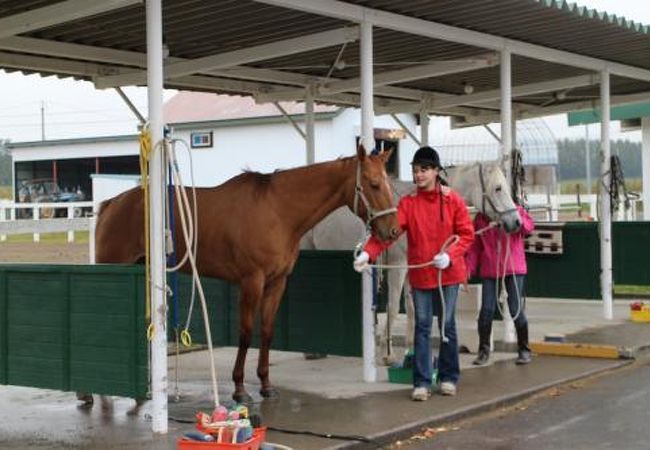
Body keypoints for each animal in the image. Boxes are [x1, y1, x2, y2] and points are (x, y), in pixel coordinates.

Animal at [96, 146, 398, 402]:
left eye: (389, 183)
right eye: (373, 184)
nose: (393, 231)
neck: (277, 210)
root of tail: (112, 202)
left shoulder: (277, 282)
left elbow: (266, 331)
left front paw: (265, 384)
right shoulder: (252, 281)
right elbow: (245, 332)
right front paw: (240, 388)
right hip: (113, 267)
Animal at [298, 163, 516, 366]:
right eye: (498, 188)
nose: (516, 222)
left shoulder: (412, 269)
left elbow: (412, 308)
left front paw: (411, 351)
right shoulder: (398, 266)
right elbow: (394, 307)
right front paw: (387, 355)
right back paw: (311, 351)